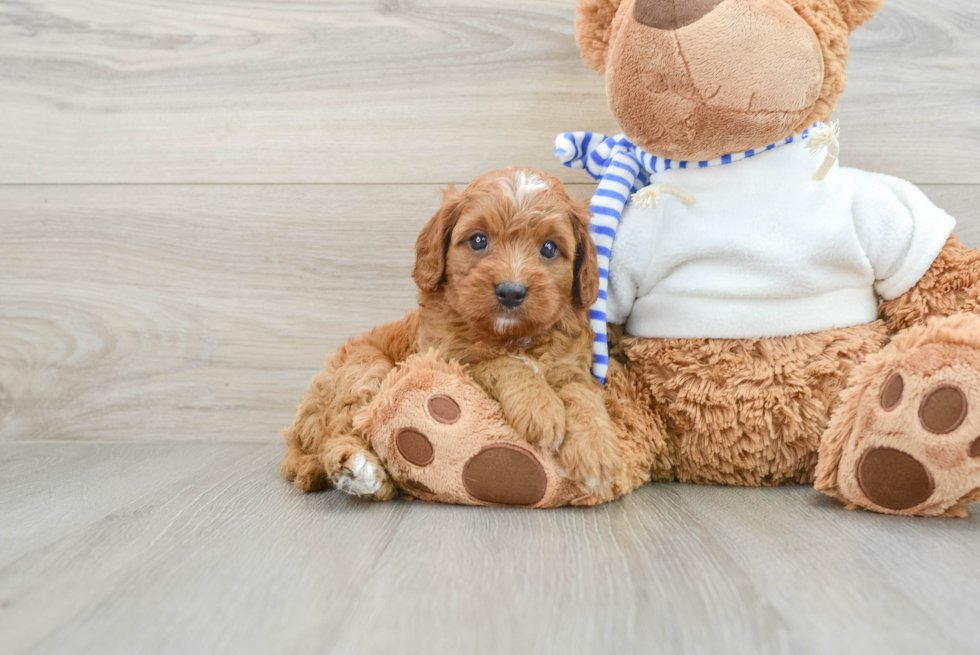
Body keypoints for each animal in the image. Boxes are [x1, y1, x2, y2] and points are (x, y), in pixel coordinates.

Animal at [280, 168, 624, 502]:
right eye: (478, 240)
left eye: (549, 248)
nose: (511, 292)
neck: (512, 337)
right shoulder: (449, 358)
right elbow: (502, 364)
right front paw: (540, 409)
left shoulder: (573, 369)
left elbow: (582, 395)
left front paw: (597, 450)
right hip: (364, 368)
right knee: (341, 432)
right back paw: (359, 470)